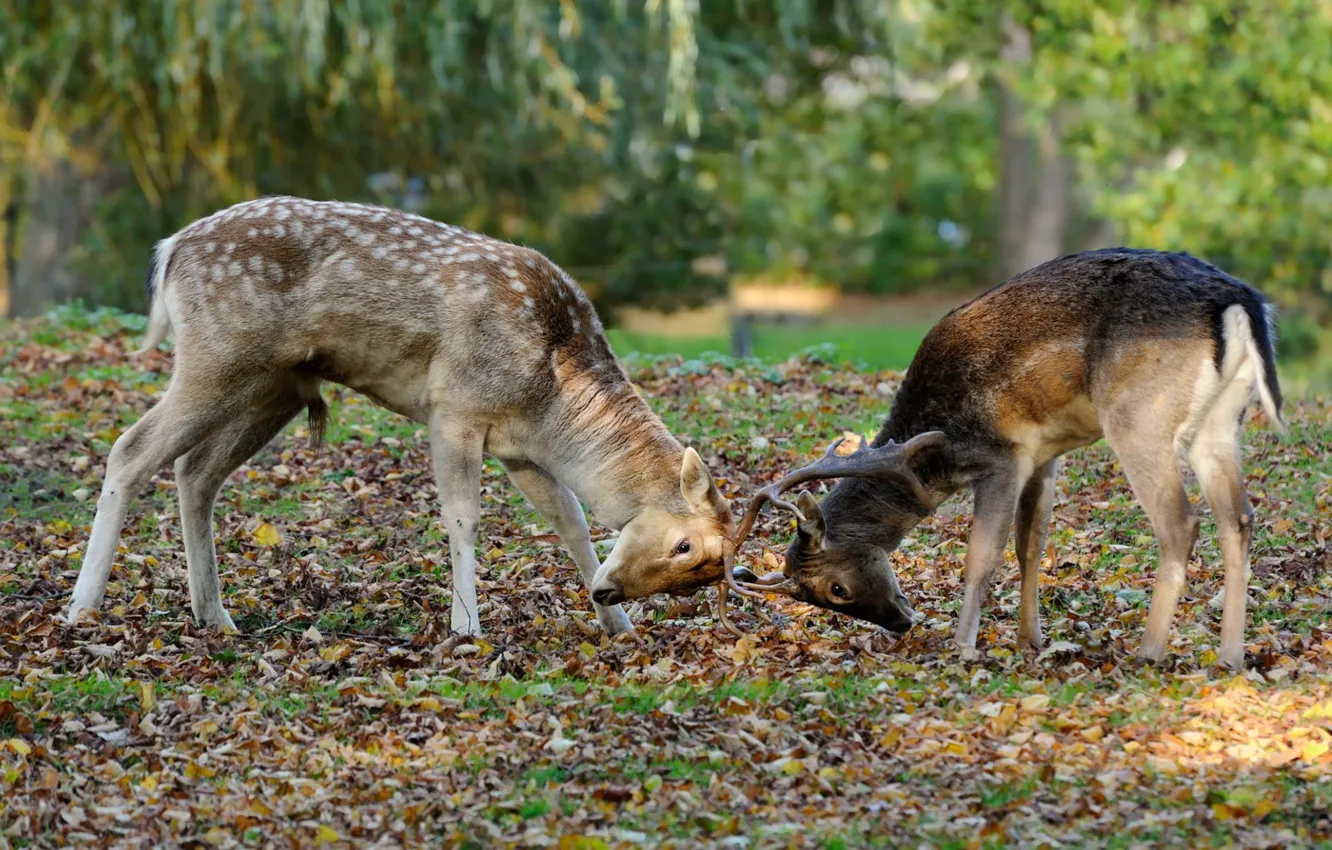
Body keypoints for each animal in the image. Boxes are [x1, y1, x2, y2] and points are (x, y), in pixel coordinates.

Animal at [64, 195, 738, 638]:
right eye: (683, 545)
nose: (609, 590)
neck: (554, 393)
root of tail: (169, 249)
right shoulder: (455, 408)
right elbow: (464, 516)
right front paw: (465, 627)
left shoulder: (521, 448)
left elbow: (569, 519)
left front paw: (617, 626)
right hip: (215, 357)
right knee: (130, 448)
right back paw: (82, 608)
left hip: (271, 388)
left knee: (195, 470)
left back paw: (215, 615)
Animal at [647, 248, 1283, 670]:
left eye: (835, 591)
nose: (902, 623)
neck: (931, 455)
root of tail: (1240, 304)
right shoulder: (1043, 454)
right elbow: (1031, 544)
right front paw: (1030, 641)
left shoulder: (1001, 454)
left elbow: (983, 555)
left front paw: (962, 647)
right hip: (1220, 424)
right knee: (1238, 517)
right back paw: (1230, 657)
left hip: (1139, 416)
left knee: (1182, 522)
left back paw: (1148, 652)